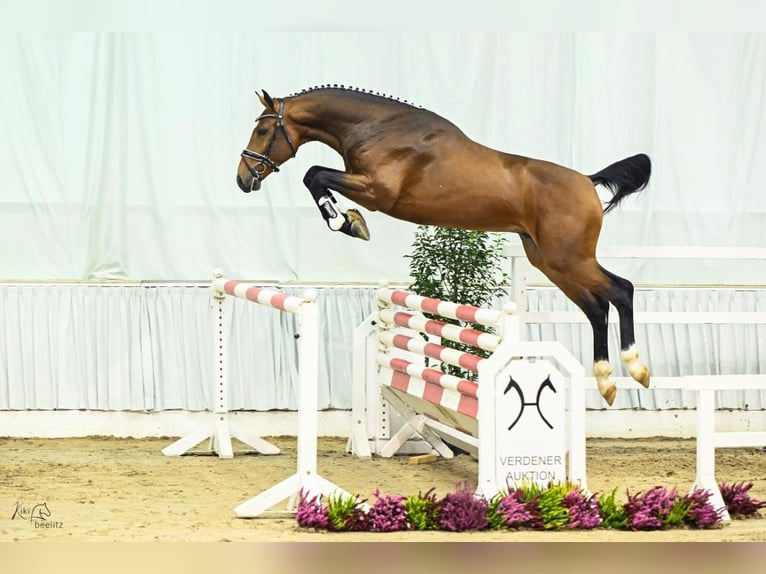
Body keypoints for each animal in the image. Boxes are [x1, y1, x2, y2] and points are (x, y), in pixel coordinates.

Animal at [236, 86, 652, 406]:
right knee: (596, 308)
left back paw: (636, 367)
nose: (243, 178)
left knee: (621, 290)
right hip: (549, 261)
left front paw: (348, 223)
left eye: (262, 130)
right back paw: (606, 381)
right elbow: (316, 176)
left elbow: (315, 175)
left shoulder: (376, 191)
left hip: (570, 258)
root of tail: (587, 181)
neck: (376, 128)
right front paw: (350, 220)